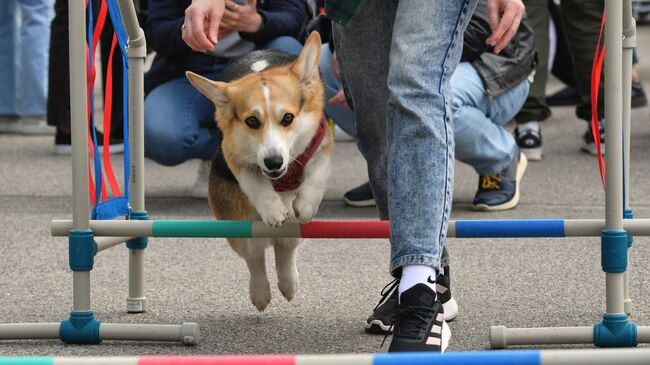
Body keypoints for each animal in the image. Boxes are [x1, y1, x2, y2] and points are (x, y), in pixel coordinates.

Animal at [185, 32, 332, 310]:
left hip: (290, 231)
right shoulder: (233, 154)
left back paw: (288, 283)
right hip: (238, 223)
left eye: (288, 118)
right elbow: (253, 181)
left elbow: (318, 171)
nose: (273, 162)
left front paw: (307, 204)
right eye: (252, 121)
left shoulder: (322, 139)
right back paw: (261, 293)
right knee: (254, 256)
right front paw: (272, 209)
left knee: (286, 246)